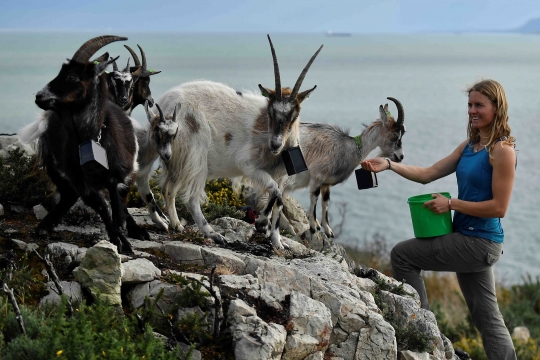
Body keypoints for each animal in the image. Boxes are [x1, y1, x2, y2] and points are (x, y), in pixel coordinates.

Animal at [31, 34, 151, 253]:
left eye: (72, 77)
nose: (39, 96)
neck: (94, 138)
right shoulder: (81, 181)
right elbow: (102, 207)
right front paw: (118, 241)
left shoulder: (122, 172)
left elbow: (117, 204)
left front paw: (125, 237)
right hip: (53, 163)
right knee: (68, 194)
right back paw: (45, 225)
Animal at [154, 35, 322, 249]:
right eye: (271, 111)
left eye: (294, 115)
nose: (275, 144)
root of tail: (165, 102)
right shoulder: (248, 166)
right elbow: (275, 193)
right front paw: (261, 224)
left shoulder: (280, 175)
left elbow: (278, 201)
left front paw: (277, 242)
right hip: (196, 155)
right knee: (191, 198)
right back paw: (213, 234)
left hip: (175, 160)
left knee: (168, 189)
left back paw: (176, 225)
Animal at [282, 98, 404, 238]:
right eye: (395, 134)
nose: (400, 156)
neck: (344, 147)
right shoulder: (317, 177)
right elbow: (314, 198)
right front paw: (313, 227)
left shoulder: (326, 183)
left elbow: (326, 202)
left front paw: (328, 230)